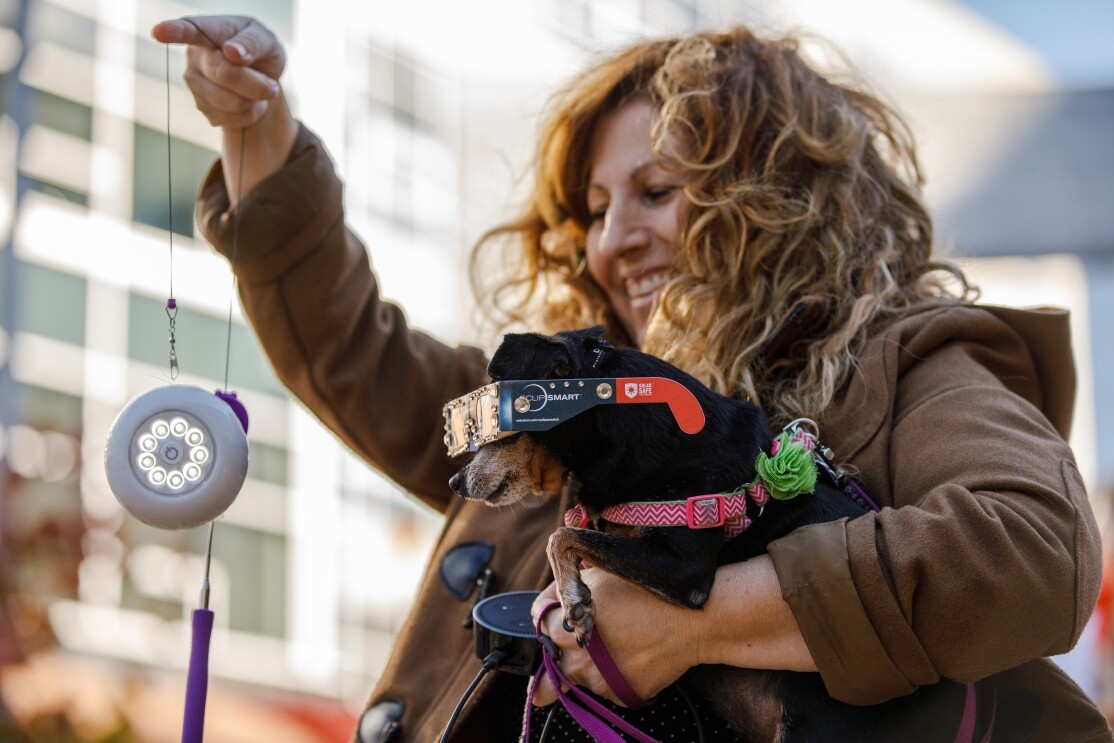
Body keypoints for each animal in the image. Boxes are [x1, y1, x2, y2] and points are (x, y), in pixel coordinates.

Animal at [450, 327, 1002, 743]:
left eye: (492, 427)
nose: (456, 482)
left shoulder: (686, 568)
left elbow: (562, 535)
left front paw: (573, 599)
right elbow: (577, 533)